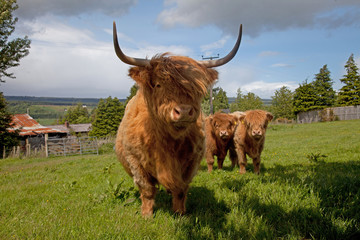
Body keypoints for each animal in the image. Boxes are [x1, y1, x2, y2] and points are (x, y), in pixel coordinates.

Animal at [112, 22, 242, 217]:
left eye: (196, 88)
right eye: (158, 84)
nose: (184, 111)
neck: (168, 141)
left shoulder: (191, 162)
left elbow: (181, 189)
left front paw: (179, 213)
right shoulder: (135, 161)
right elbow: (147, 189)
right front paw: (147, 215)